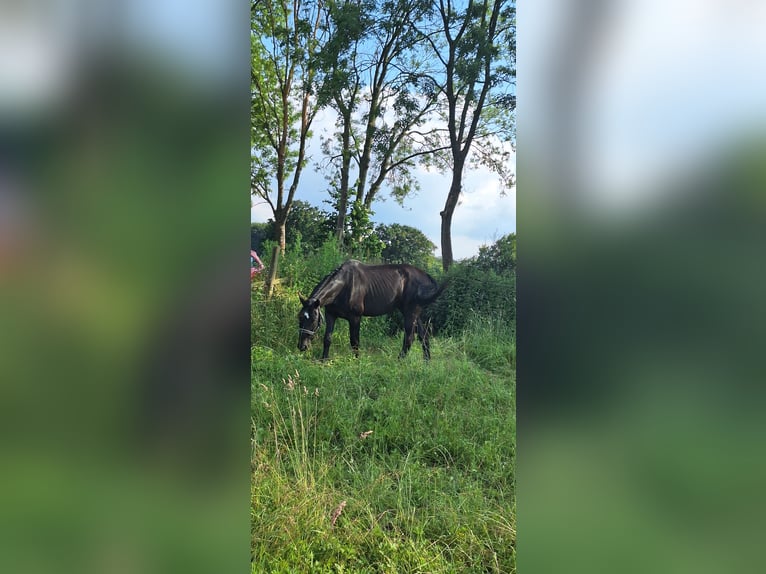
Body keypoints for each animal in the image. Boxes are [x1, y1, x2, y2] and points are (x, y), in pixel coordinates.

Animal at [296, 260, 448, 360]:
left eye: (313, 319)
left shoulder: (355, 318)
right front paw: (324, 360)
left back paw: (400, 361)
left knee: (409, 338)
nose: (302, 346)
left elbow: (354, 342)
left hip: (410, 313)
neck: (344, 285)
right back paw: (426, 362)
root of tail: (425, 277)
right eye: (300, 317)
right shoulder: (331, 315)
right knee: (424, 336)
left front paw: (357, 361)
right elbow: (327, 339)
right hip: (415, 313)